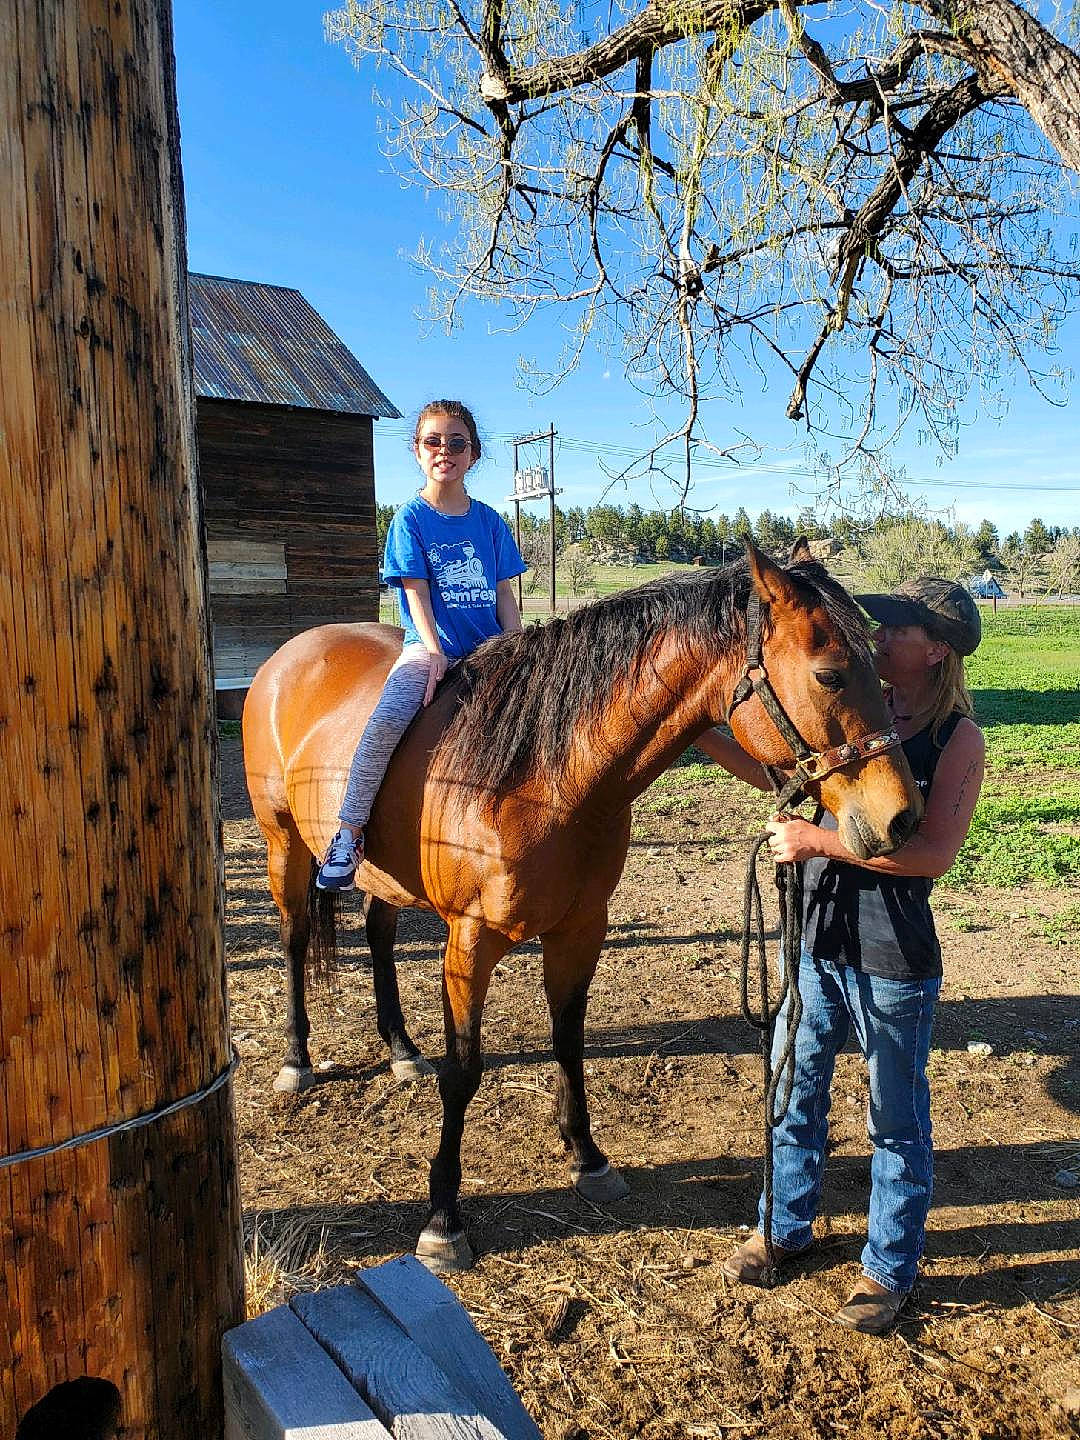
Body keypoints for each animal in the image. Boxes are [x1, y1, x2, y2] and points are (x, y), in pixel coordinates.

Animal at [242, 539, 922, 1270]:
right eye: (829, 675)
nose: (903, 818)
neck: (541, 775)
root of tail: (291, 654)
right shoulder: (469, 942)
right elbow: (463, 1071)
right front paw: (444, 1217)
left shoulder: (580, 930)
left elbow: (568, 1041)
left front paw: (588, 1157)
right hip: (284, 844)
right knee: (293, 940)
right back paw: (296, 1061)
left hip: (383, 879)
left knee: (377, 935)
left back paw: (399, 1049)